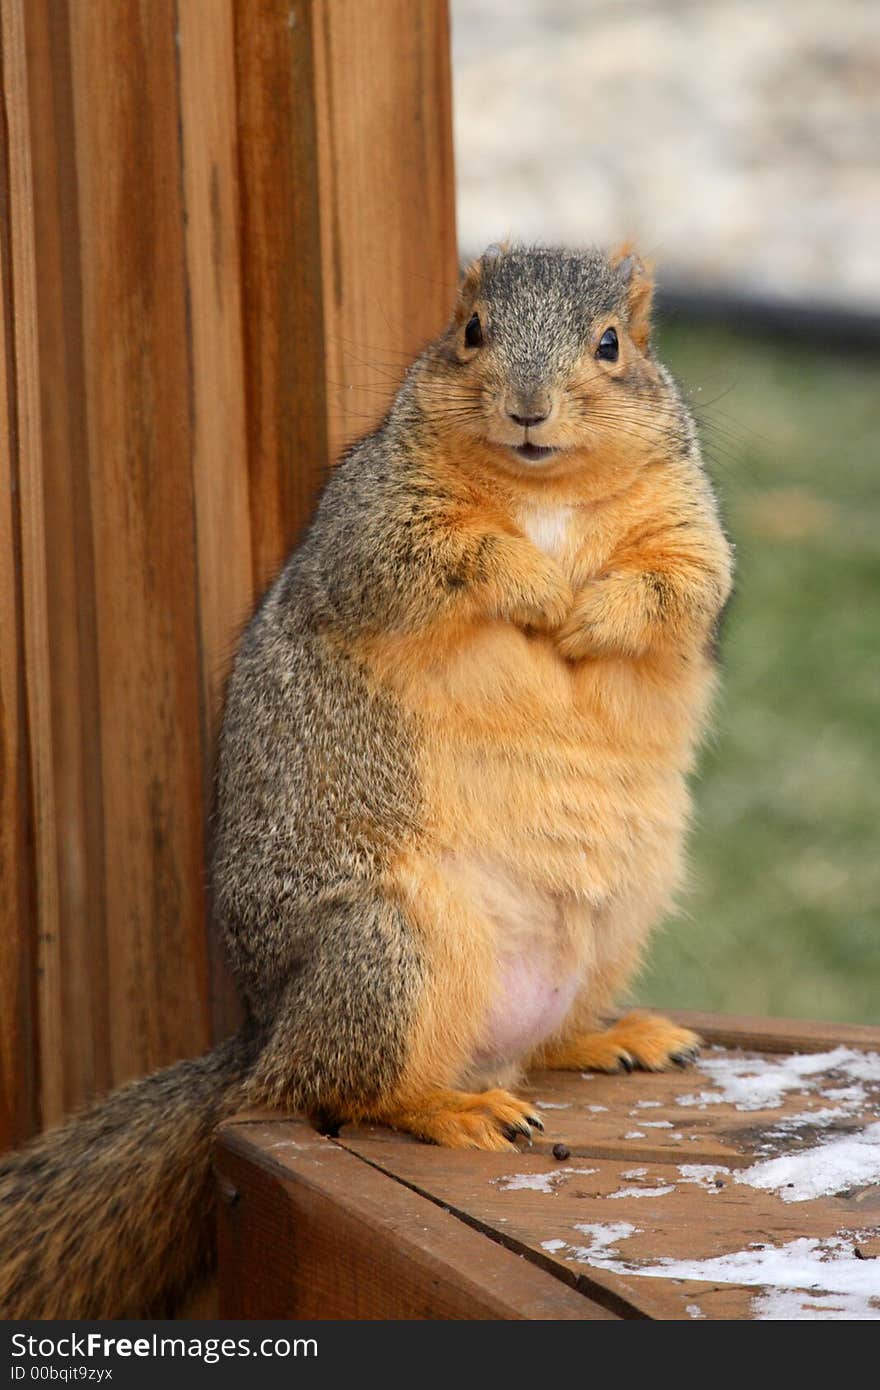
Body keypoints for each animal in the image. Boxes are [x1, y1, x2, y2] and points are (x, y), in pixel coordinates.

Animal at [0, 244, 728, 1317]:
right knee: (352, 1092)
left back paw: (605, 1037)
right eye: (469, 330)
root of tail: (267, 1040)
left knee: (530, 1044)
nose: (528, 407)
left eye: (612, 345)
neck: (543, 492)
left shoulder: (687, 526)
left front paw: (590, 612)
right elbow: (438, 560)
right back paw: (453, 1109)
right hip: (387, 950)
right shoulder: (373, 524)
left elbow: (680, 588)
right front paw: (535, 588)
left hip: (611, 925)